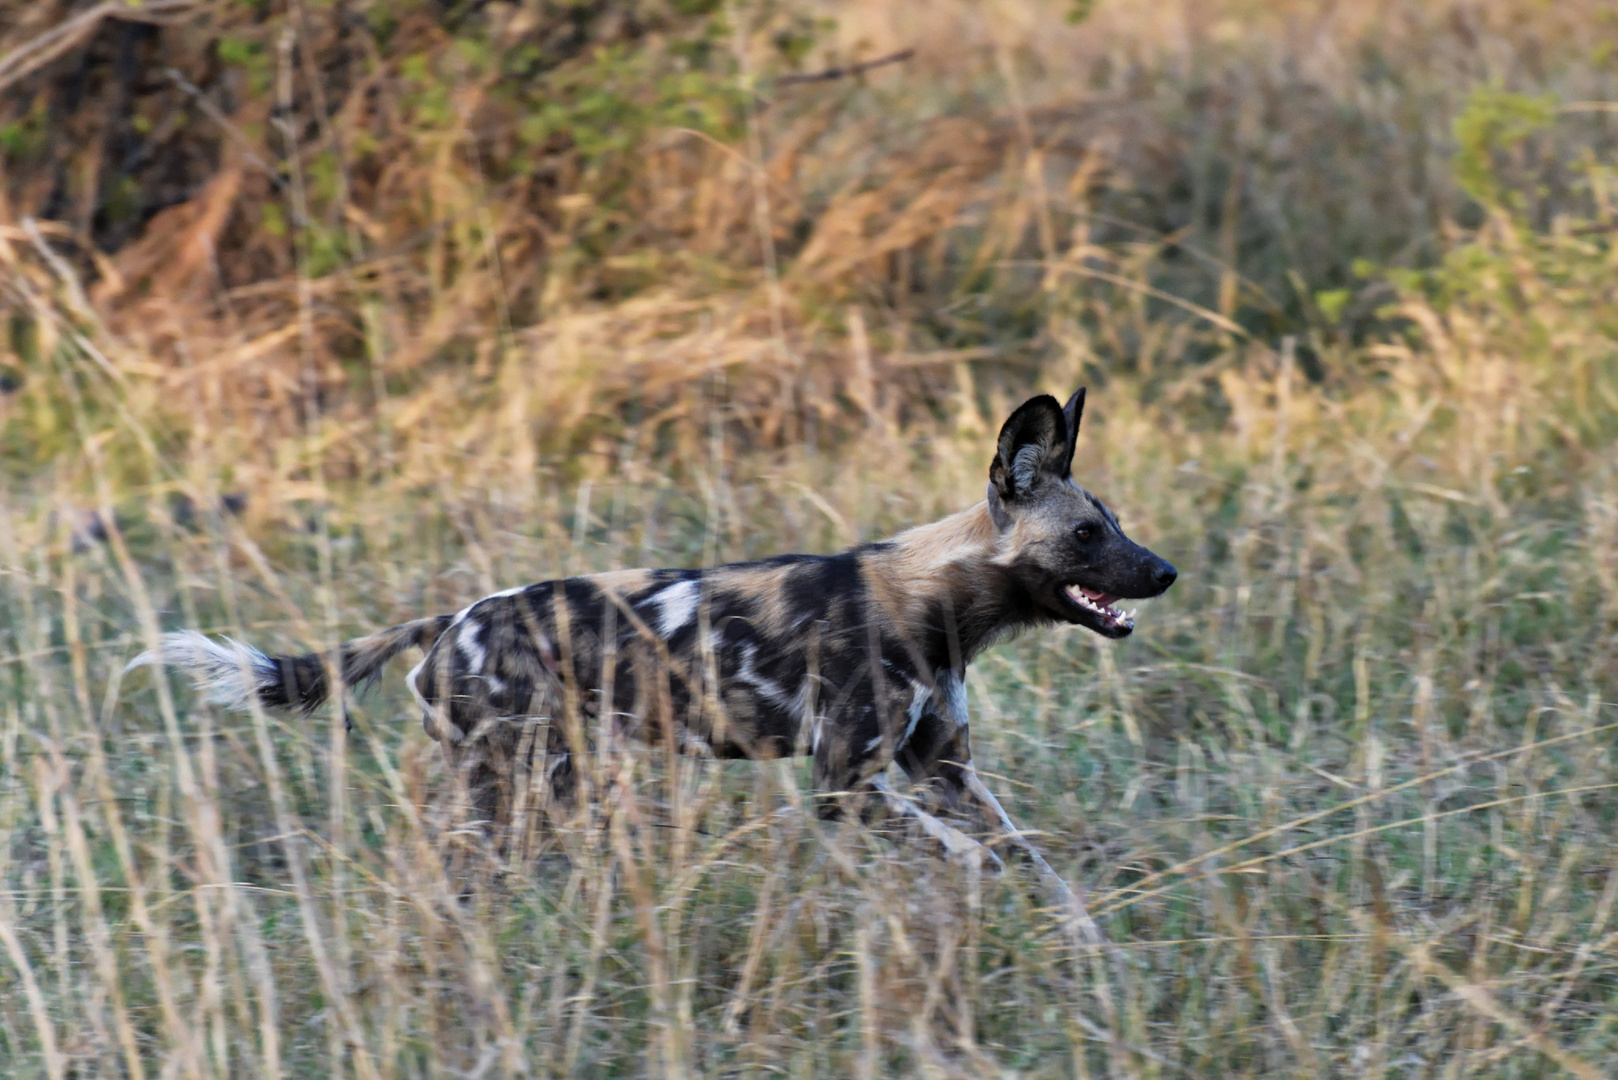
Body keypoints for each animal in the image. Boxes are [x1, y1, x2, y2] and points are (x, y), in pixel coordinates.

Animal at [135, 393, 1177, 906]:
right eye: (1088, 534)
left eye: (1114, 523)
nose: (1166, 571)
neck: (939, 603)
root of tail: (450, 619)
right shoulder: (845, 786)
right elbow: (969, 860)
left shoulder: (942, 771)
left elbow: (1026, 860)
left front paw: (1077, 940)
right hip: (519, 787)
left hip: (544, 789)